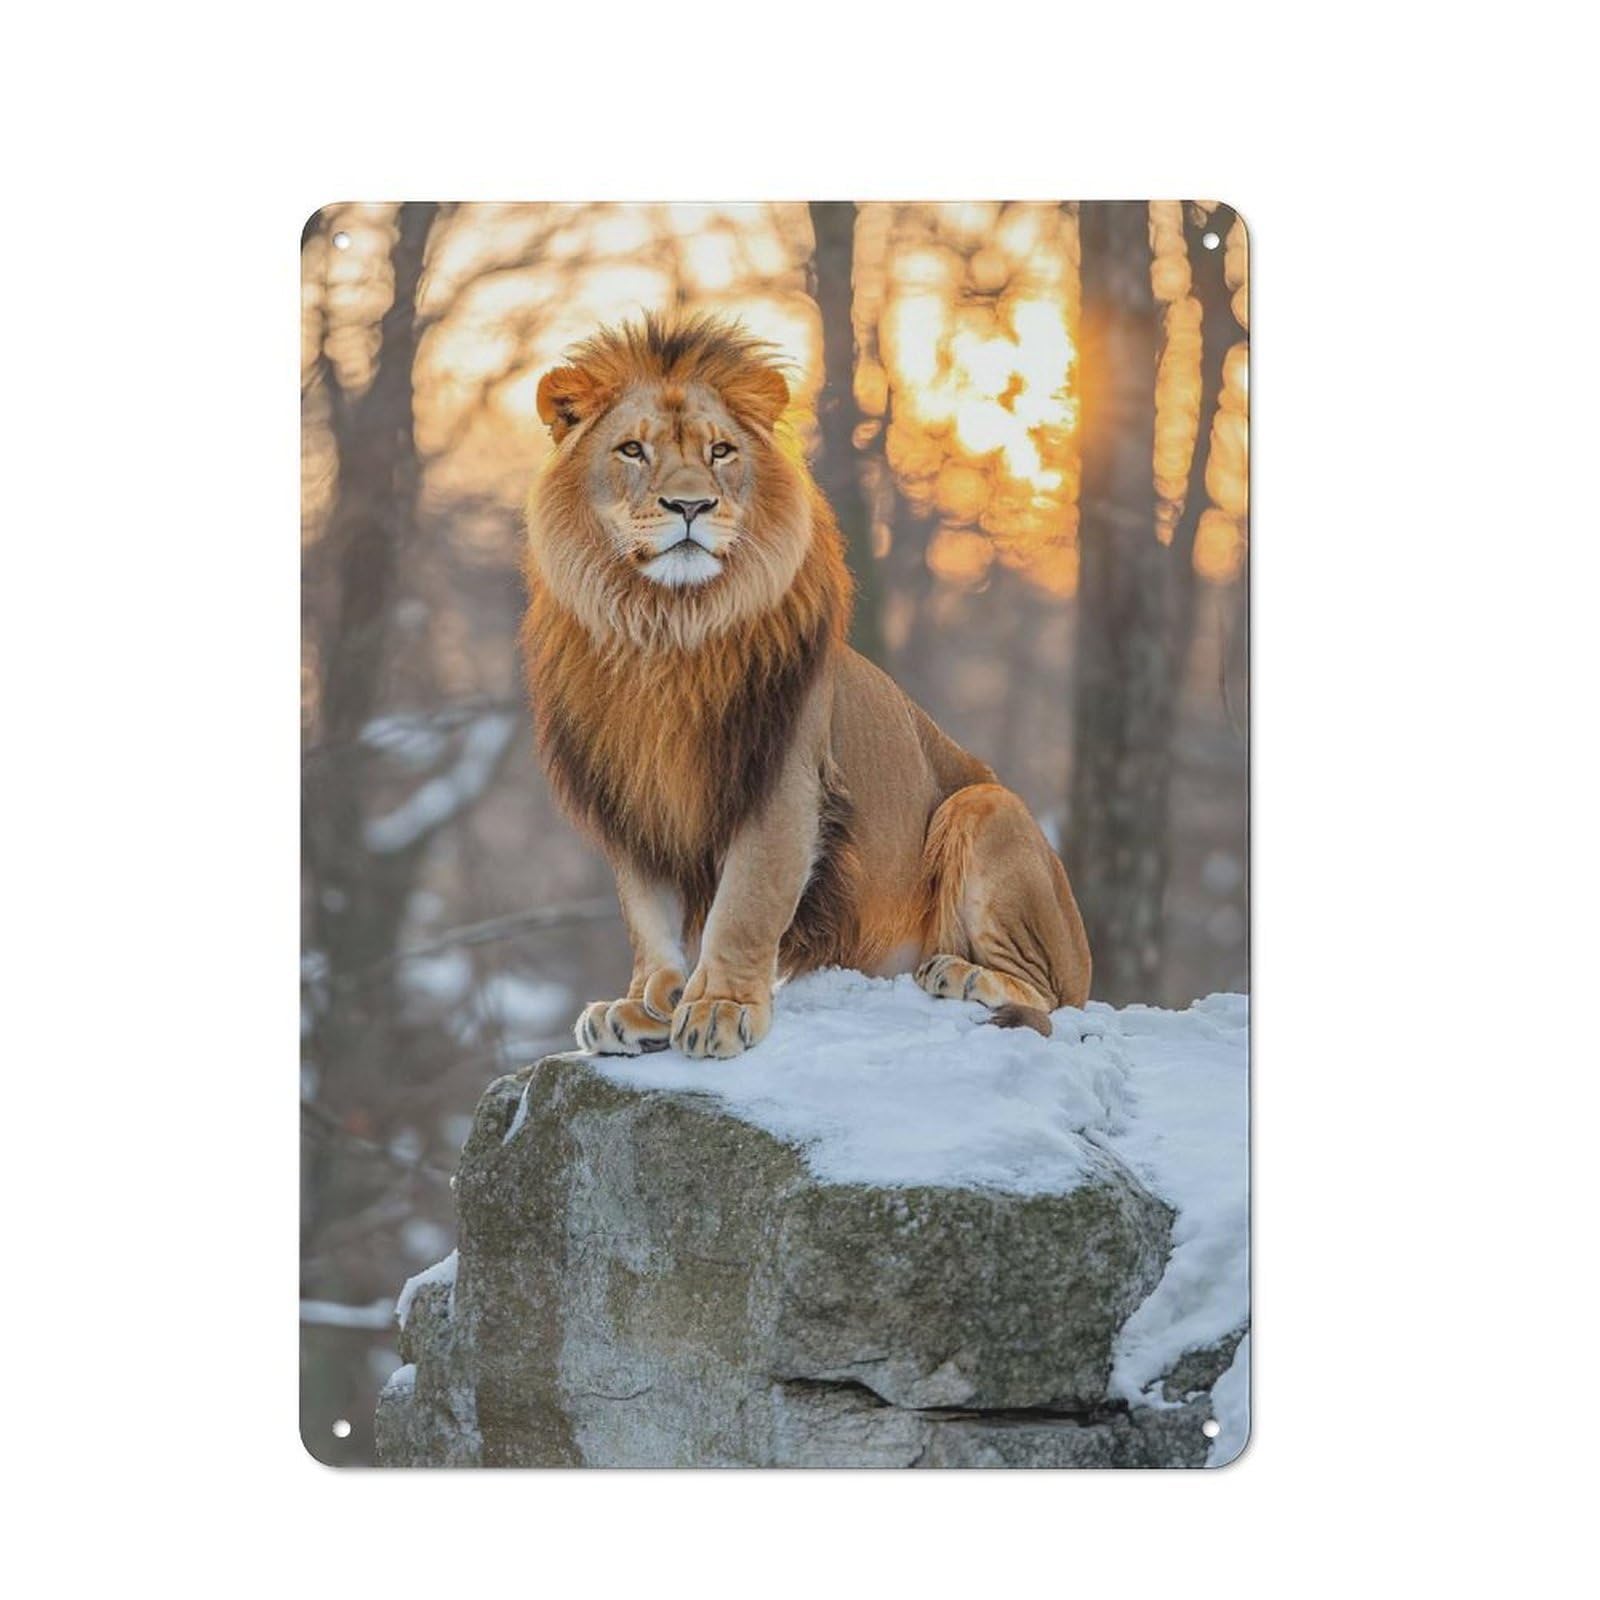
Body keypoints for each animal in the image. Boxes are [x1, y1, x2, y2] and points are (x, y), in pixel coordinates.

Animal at [522, 313, 1090, 1058]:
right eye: (632, 450)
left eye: (721, 451)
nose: (690, 505)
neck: (667, 628)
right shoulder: (632, 796)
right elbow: (649, 917)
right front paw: (646, 1003)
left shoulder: (783, 781)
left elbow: (744, 905)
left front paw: (719, 1007)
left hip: (987, 808)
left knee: (1050, 994)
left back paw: (960, 974)